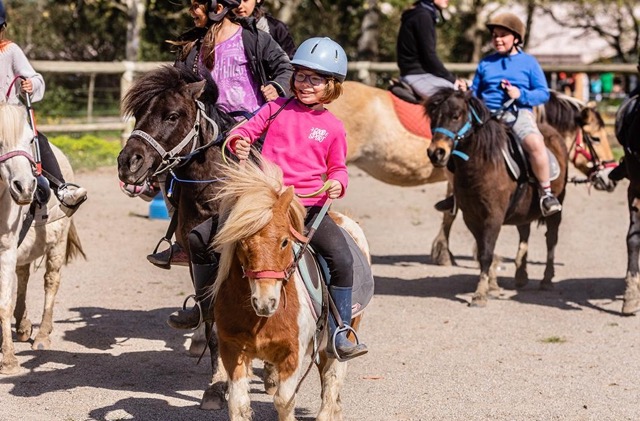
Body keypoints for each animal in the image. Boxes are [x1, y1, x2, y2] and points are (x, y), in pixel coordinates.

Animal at [0, 103, 84, 372]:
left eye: (30, 140)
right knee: (23, 276)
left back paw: (42, 335)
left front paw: (8, 359)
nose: (25, 188)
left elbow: (3, 303)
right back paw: (23, 325)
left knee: (51, 282)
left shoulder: (5, 251)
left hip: (57, 243)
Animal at [116, 65, 236, 406]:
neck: (214, 194)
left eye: (171, 115)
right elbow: (211, 322)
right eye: (138, 114)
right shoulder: (200, 259)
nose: (127, 162)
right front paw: (217, 386)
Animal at [428, 88, 568, 306]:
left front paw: (480, 294)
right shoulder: (471, 217)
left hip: (556, 208)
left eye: (456, 115)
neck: (482, 164)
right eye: (433, 117)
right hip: (523, 211)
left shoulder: (493, 216)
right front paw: (489, 286)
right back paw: (521, 275)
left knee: (551, 239)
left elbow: (486, 253)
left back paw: (546, 279)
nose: (436, 153)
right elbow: (483, 252)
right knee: (524, 234)